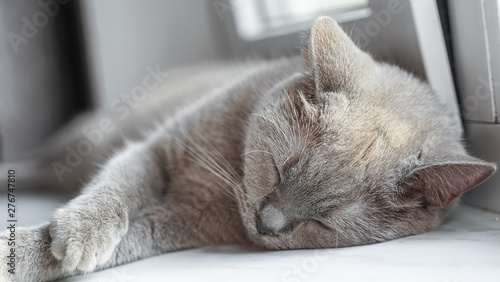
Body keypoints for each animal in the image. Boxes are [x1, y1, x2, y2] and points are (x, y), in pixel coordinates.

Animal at [0, 17, 496, 282]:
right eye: (277, 168)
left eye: (323, 222)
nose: (265, 223)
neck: (228, 169)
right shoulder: (153, 149)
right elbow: (116, 189)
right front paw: (79, 235)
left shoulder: (176, 224)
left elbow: (131, 238)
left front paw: (26, 254)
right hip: (83, 141)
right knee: (39, 163)